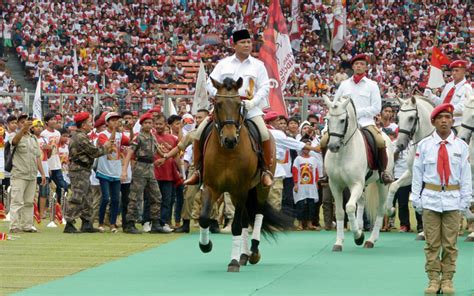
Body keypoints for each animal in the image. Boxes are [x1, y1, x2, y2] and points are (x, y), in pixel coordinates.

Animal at [196, 77, 292, 272]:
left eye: (239, 104)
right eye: (218, 104)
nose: (230, 139)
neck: (226, 153)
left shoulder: (240, 189)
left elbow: (236, 226)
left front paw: (232, 262)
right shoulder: (211, 187)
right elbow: (204, 218)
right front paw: (206, 245)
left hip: (259, 187)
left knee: (258, 214)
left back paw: (253, 252)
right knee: (247, 218)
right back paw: (244, 255)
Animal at [322, 96, 392, 251]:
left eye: (342, 120)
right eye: (328, 119)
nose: (333, 146)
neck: (342, 153)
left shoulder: (356, 184)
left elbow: (349, 207)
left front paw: (358, 237)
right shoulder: (335, 185)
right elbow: (340, 212)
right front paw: (339, 242)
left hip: (382, 184)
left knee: (381, 209)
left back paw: (371, 240)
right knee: (361, 202)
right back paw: (360, 226)